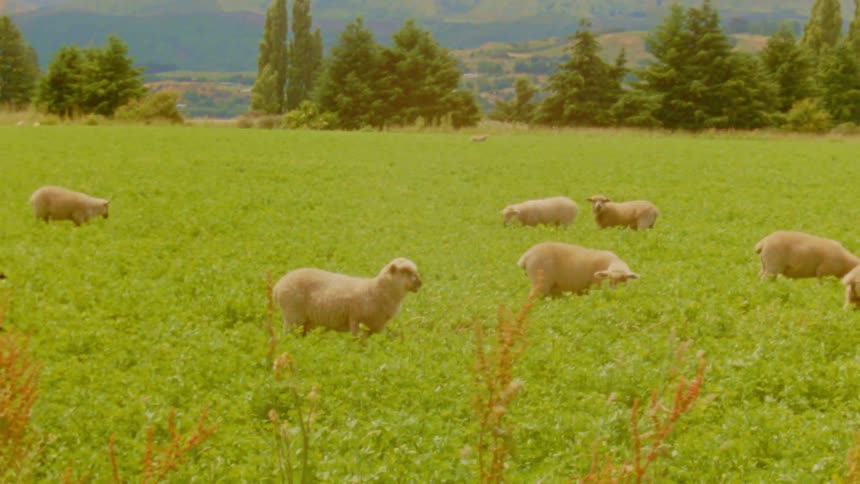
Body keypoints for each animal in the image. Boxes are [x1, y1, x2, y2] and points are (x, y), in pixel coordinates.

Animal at [273, 258, 422, 336]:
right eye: (405, 272)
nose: (420, 283)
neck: (376, 290)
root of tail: (279, 285)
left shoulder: (376, 327)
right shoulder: (356, 320)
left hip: (305, 322)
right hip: (292, 317)